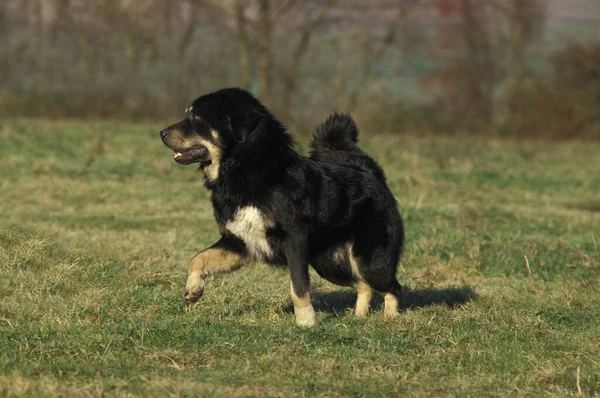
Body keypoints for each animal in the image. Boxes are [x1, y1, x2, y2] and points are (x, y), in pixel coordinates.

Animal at [158, 88, 404, 326]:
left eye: (195, 117)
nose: (162, 133)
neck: (246, 169)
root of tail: (369, 171)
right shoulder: (240, 242)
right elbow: (198, 258)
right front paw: (192, 291)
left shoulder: (293, 240)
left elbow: (298, 287)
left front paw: (306, 322)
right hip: (328, 263)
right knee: (364, 286)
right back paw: (358, 318)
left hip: (369, 260)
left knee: (391, 287)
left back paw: (390, 319)